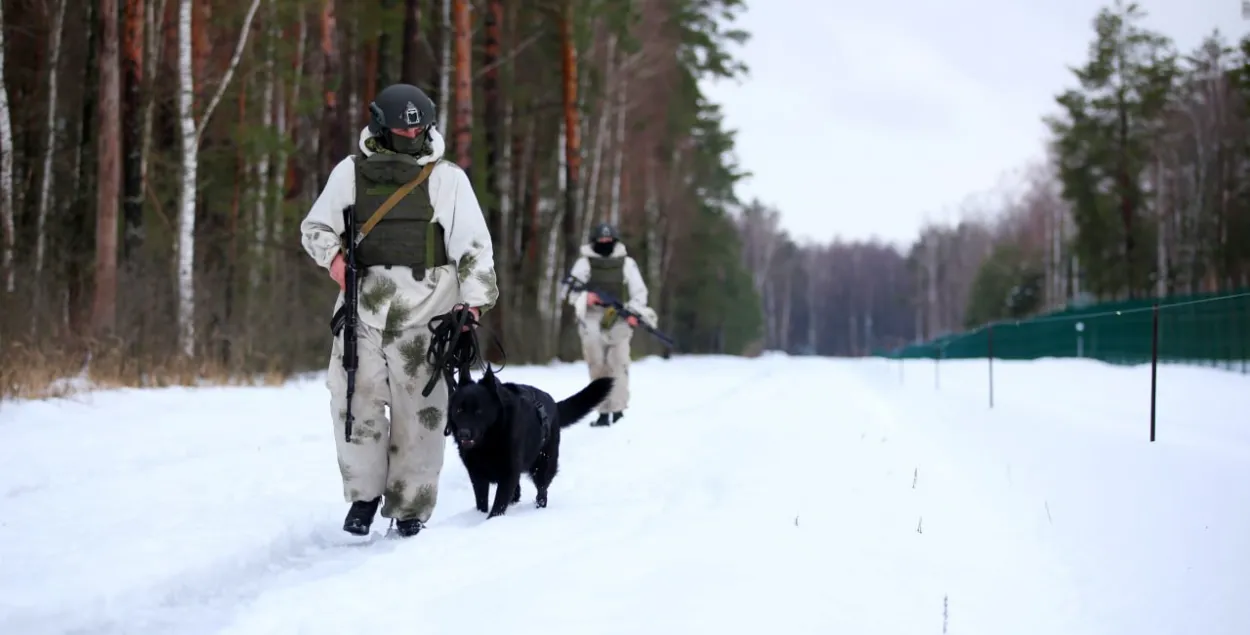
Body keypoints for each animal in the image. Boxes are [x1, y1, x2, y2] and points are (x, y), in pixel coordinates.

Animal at [450, 370, 615, 517]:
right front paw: (478, 517)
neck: (487, 443)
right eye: (459, 410)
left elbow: (498, 505)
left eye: (479, 411)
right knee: (519, 492)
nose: (463, 433)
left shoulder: (508, 474)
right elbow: (482, 501)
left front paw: (490, 521)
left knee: (542, 490)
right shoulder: (477, 476)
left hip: (543, 465)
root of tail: (554, 404)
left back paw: (538, 508)